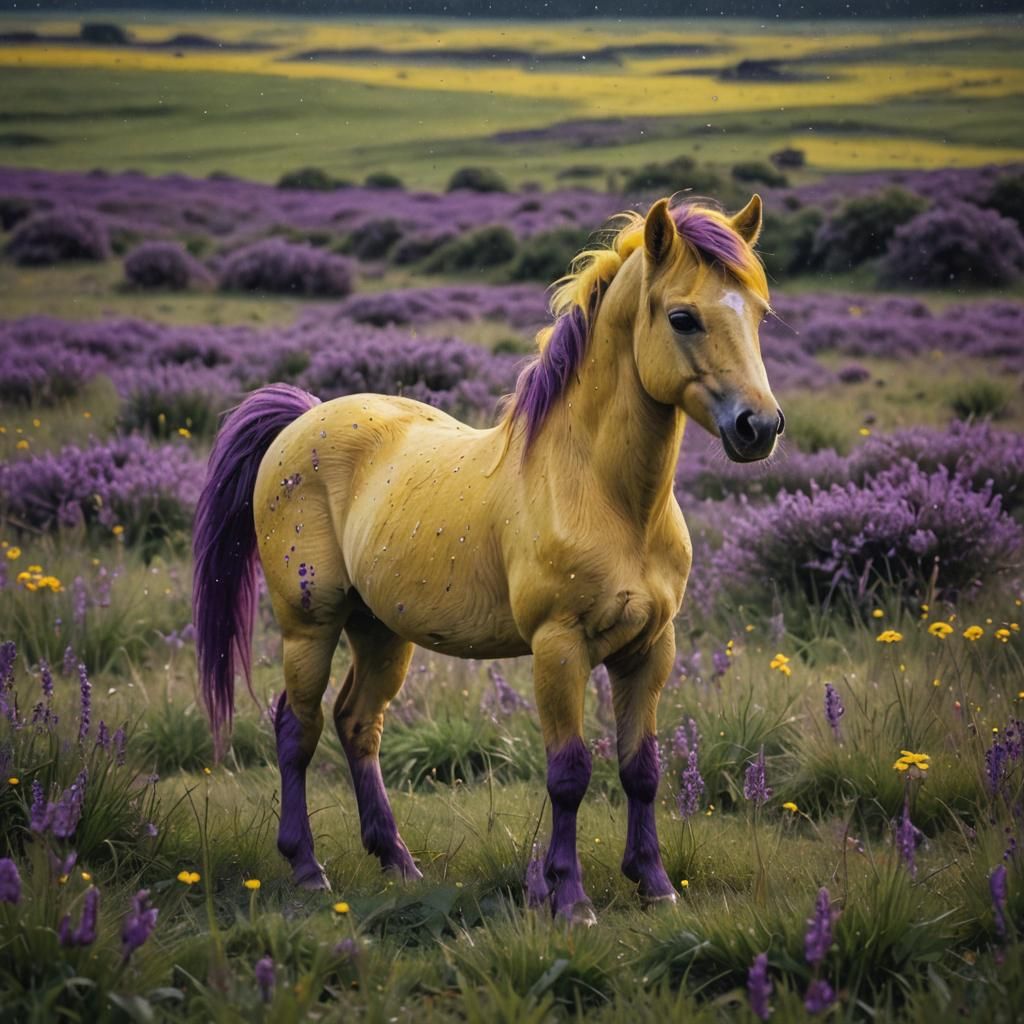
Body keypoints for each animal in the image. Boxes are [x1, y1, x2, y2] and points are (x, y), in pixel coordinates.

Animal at [192, 194, 783, 924]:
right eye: (683, 317)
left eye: (758, 313)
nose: (760, 427)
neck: (609, 499)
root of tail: (303, 419)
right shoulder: (559, 647)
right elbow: (569, 772)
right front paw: (571, 898)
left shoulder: (650, 648)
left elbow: (641, 768)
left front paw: (655, 883)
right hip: (311, 627)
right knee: (295, 728)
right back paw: (306, 868)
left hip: (380, 631)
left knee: (358, 724)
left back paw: (397, 860)